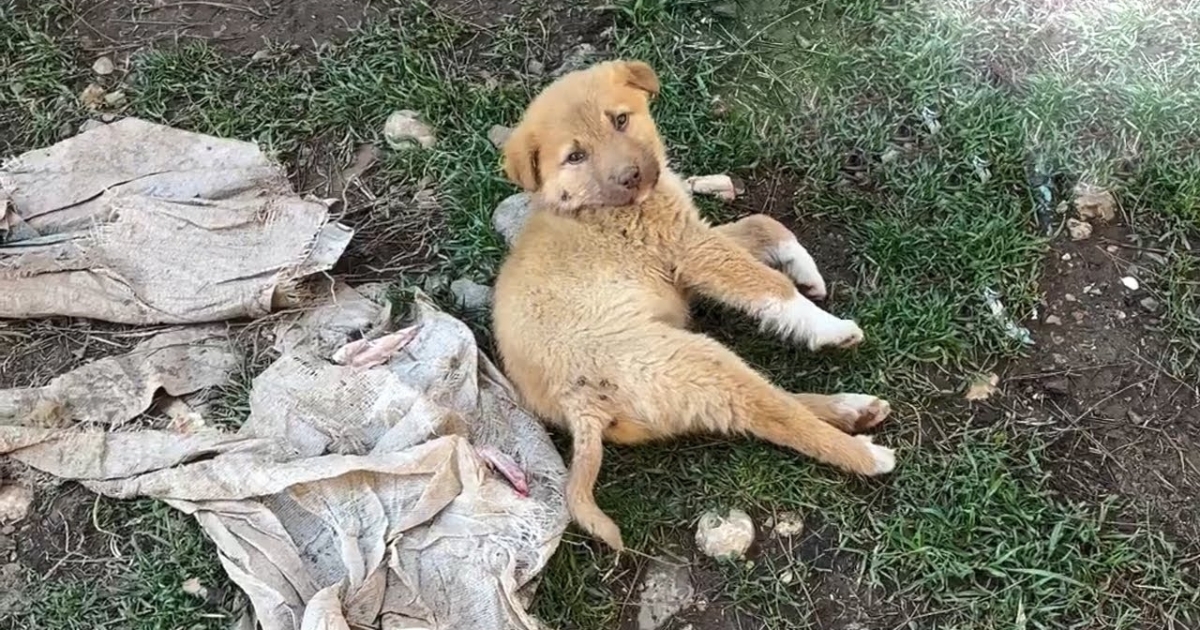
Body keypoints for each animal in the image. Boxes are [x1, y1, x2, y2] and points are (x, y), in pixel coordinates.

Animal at [492, 60, 897, 549]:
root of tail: (577, 405)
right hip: (689, 358)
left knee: (769, 401)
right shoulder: (691, 249)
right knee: (775, 416)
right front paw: (827, 326)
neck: (590, 207)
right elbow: (766, 284)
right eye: (575, 156)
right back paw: (864, 454)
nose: (631, 176)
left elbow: (762, 224)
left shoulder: (687, 250)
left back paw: (851, 410)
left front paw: (805, 269)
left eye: (620, 120)